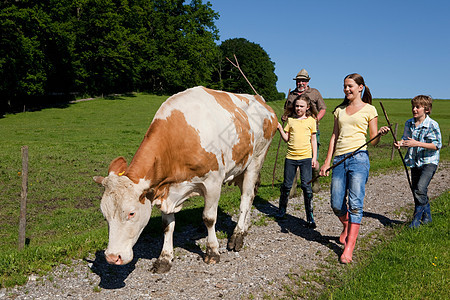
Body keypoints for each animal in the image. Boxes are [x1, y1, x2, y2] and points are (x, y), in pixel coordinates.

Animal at [93, 85, 278, 274]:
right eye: (104, 214)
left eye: (131, 213)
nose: (112, 257)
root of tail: (261, 101)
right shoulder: (165, 189)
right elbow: (167, 225)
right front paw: (164, 258)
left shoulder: (213, 182)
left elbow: (209, 218)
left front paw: (212, 252)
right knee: (251, 196)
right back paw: (245, 228)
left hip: (256, 160)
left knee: (245, 199)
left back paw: (237, 236)